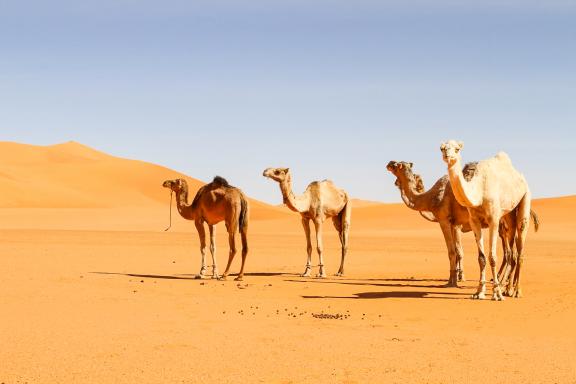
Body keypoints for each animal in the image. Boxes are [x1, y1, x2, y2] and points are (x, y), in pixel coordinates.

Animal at [440, 141, 532, 300]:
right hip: (508, 215)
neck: (479, 190)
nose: (448, 156)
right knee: (512, 251)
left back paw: (517, 291)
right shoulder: (474, 220)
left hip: (526, 197)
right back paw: (508, 289)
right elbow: (481, 258)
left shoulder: (493, 220)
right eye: (442, 148)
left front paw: (496, 293)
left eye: (457, 149)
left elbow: (492, 257)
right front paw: (479, 292)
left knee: (520, 246)